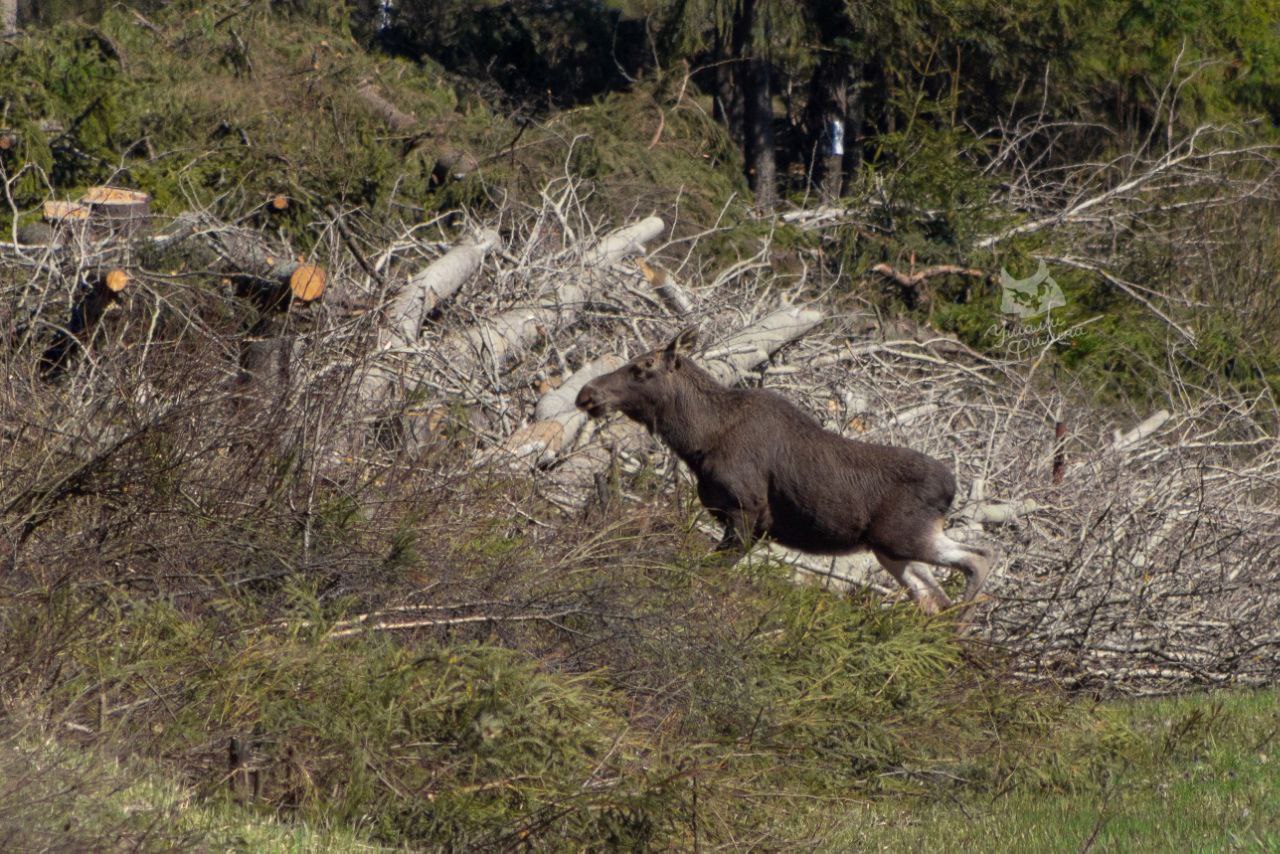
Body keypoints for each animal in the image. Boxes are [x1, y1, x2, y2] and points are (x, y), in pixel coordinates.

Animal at [576, 327, 993, 614]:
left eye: (643, 367)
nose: (586, 393)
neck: (698, 439)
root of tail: (951, 489)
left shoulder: (748, 512)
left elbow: (708, 573)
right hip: (889, 550)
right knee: (934, 597)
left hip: (904, 536)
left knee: (980, 558)